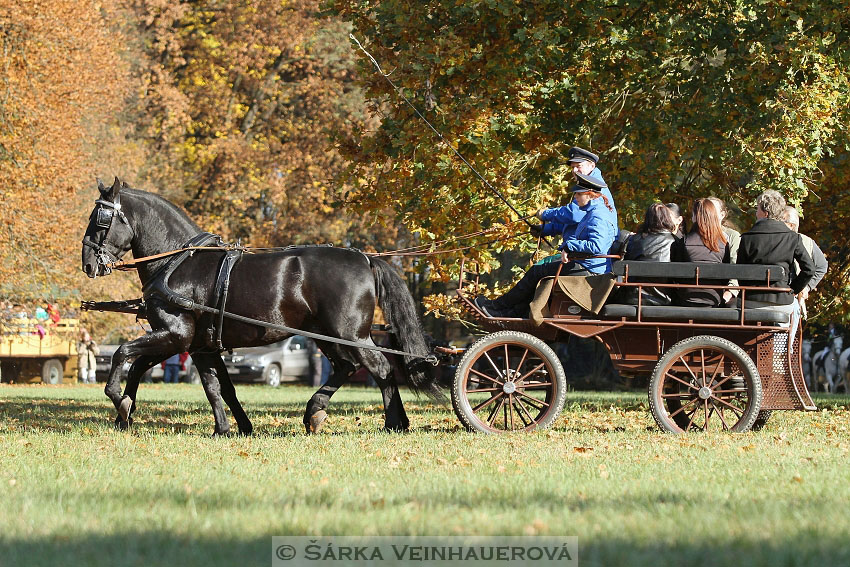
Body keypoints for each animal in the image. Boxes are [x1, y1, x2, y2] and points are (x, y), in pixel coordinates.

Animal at [80, 178, 440, 434]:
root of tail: (365, 258)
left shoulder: (175, 335)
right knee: (347, 367)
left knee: (381, 368)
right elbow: (217, 386)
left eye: (100, 219)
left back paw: (393, 422)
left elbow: (124, 354)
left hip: (350, 334)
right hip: (324, 335)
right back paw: (316, 412)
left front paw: (118, 400)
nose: (88, 263)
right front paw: (232, 428)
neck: (177, 262)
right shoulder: (195, 345)